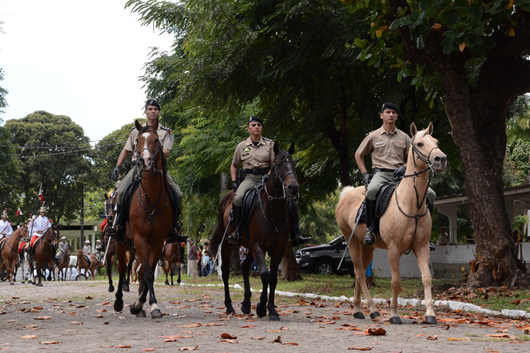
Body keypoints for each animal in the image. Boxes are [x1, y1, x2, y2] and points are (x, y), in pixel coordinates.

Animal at [207, 142, 296, 320]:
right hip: (228, 244)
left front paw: (271, 309)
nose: (293, 187)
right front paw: (261, 307)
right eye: (278, 164)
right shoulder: (258, 246)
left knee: (245, 267)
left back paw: (246, 303)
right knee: (226, 272)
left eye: (294, 163)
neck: (273, 210)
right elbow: (265, 275)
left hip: (249, 246)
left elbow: (273, 278)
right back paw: (229, 307)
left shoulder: (278, 249)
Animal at [334, 122, 446, 324]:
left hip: (367, 246)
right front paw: (394, 314)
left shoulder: (422, 247)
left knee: (360, 272)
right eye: (419, 144)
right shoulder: (394, 250)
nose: (441, 159)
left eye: (436, 142)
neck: (411, 203)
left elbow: (426, 278)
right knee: (360, 273)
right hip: (351, 240)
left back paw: (358, 309)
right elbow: (396, 281)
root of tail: (347, 194)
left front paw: (430, 314)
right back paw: (373, 310)